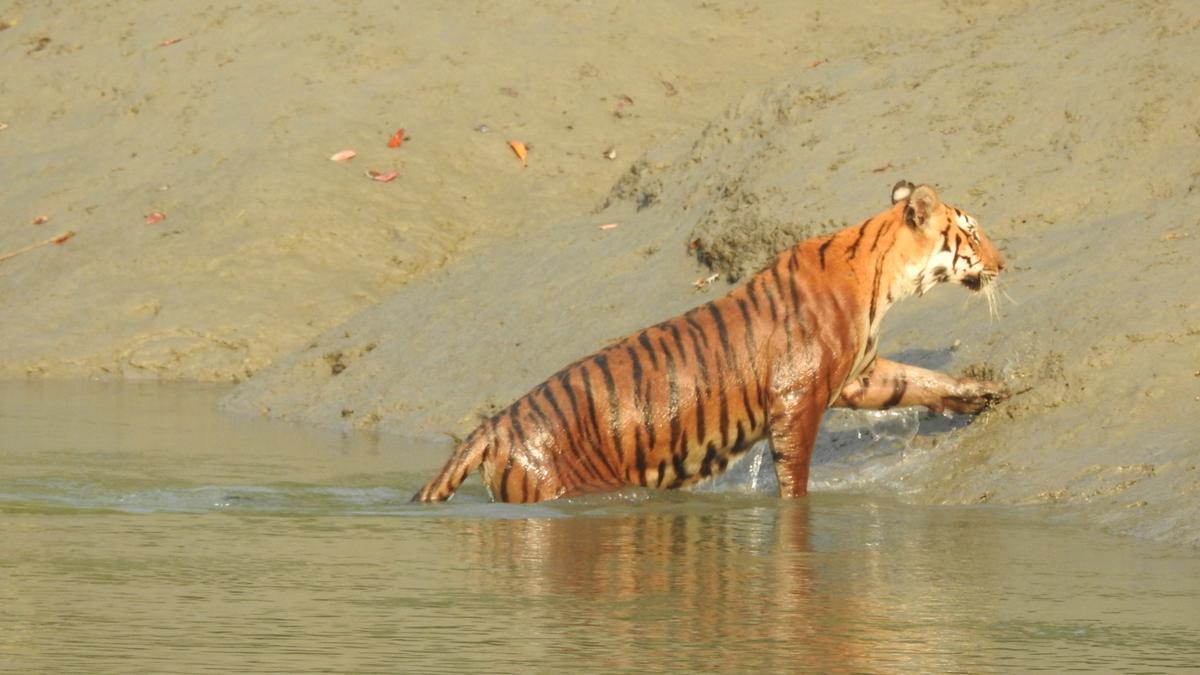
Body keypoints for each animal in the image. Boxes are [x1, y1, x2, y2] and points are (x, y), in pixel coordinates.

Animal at [415, 181, 1012, 502]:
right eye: (973, 232)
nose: (1005, 264)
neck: (884, 277)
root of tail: (492, 427)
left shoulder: (857, 375)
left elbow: (918, 380)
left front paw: (985, 394)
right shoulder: (798, 397)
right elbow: (794, 472)